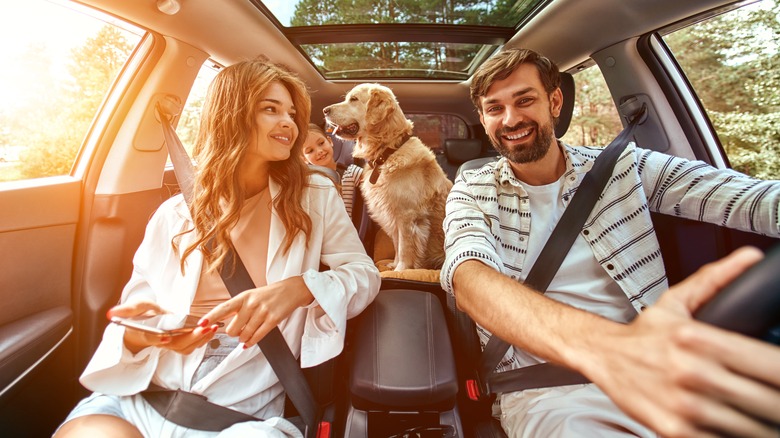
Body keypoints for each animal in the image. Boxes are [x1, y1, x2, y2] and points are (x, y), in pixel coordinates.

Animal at [322, 83, 450, 270]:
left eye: (354, 99)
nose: (324, 110)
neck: (388, 152)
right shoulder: (390, 212)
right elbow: (396, 243)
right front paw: (394, 264)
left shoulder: (406, 215)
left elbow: (404, 246)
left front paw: (401, 269)